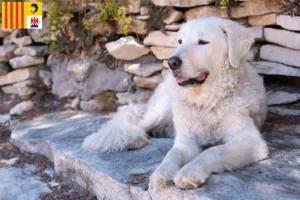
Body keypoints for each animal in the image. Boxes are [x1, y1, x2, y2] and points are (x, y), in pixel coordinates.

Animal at [82, 17, 270, 189]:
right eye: (180, 41)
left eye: (203, 42)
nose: (172, 62)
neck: (206, 101)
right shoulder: (186, 141)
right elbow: (172, 154)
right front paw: (162, 172)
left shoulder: (250, 141)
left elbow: (213, 151)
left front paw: (189, 172)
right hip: (160, 110)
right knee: (135, 122)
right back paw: (134, 139)